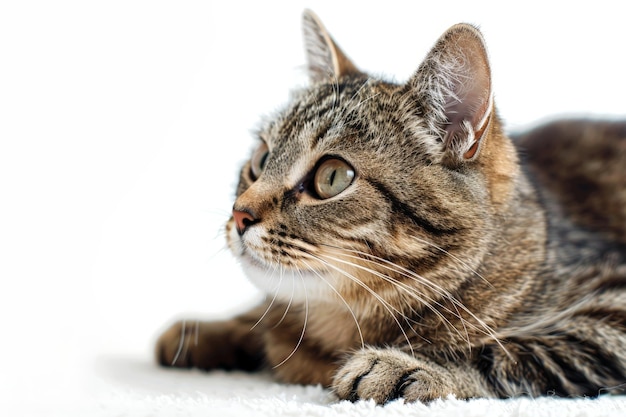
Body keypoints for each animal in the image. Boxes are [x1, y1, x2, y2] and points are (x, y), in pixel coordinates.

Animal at [155, 10, 624, 404]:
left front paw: (407, 365)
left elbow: (510, 351)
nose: (239, 214)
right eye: (260, 159)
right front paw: (212, 330)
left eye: (332, 177)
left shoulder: (611, 305)